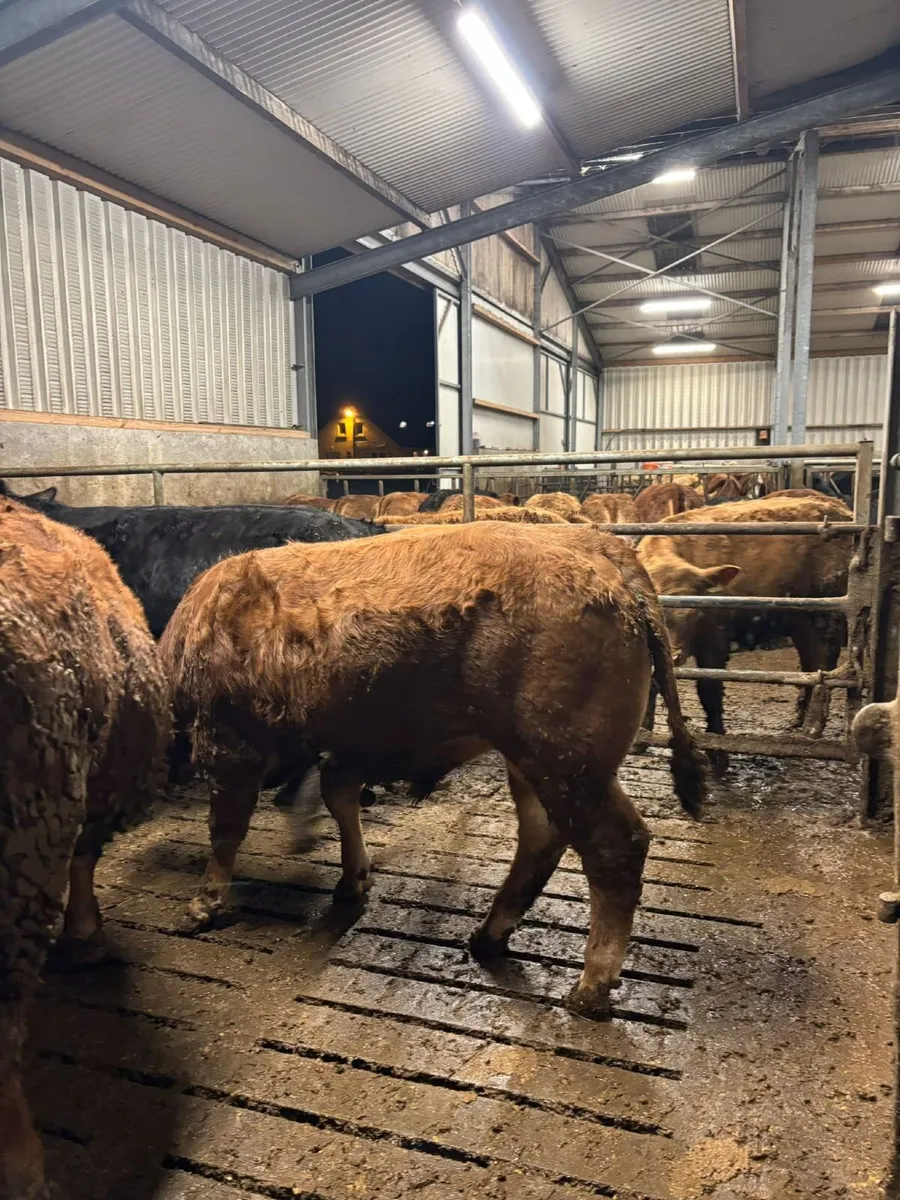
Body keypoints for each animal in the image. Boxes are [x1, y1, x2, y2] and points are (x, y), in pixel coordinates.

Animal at [159, 522, 706, 1021]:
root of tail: (602, 548)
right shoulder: (346, 749)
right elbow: (339, 799)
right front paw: (353, 878)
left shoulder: (229, 746)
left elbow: (226, 829)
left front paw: (205, 902)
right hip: (534, 762)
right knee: (542, 837)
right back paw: (489, 935)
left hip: (570, 766)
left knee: (615, 849)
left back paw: (590, 985)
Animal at [637, 495, 852, 772]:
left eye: (695, 612)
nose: (675, 656)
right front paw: (641, 737)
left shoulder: (715, 638)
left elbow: (710, 691)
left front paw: (718, 753)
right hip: (799, 619)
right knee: (810, 662)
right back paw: (798, 717)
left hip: (828, 610)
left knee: (826, 660)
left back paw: (813, 727)